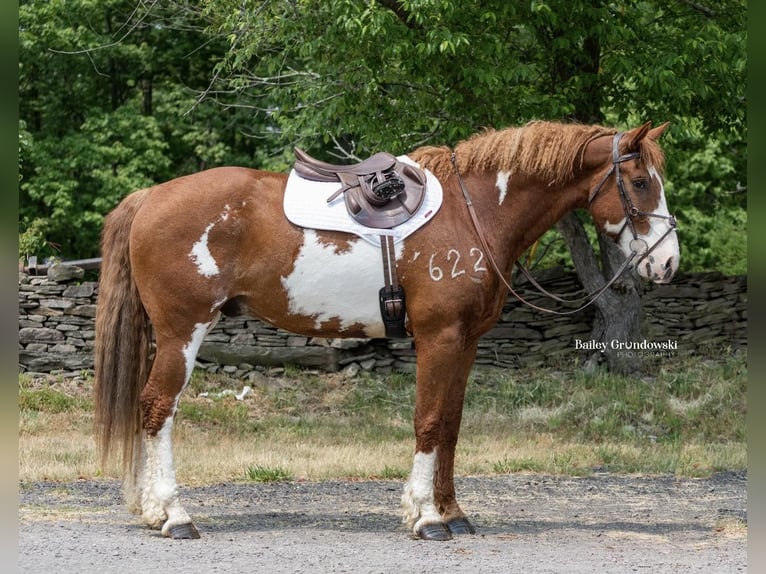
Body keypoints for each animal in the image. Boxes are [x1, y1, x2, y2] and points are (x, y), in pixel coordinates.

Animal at [93, 119, 680, 544]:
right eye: (640, 183)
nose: (668, 263)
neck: (475, 212)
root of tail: (149, 197)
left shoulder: (465, 342)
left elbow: (451, 426)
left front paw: (453, 511)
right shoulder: (438, 337)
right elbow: (428, 422)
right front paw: (426, 518)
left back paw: (149, 510)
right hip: (182, 333)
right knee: (157, 409)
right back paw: (174, 515)